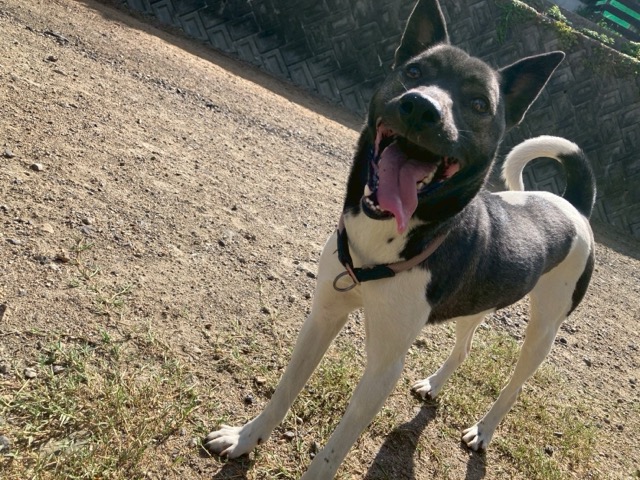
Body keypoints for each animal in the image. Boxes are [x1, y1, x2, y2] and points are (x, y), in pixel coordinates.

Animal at [205, 0, 596, 477]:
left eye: (479, 104)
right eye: (413, 71)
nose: (421, 107)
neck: (384, 241)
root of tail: (573, 206)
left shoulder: (383, 367)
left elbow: (332, 451)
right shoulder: (323, 314)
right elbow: (284, 390)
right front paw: (245, 439)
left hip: (545, 328)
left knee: (515, 384)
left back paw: (484, 431)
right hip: (481, 298)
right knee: (465, 346)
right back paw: (435, 385)